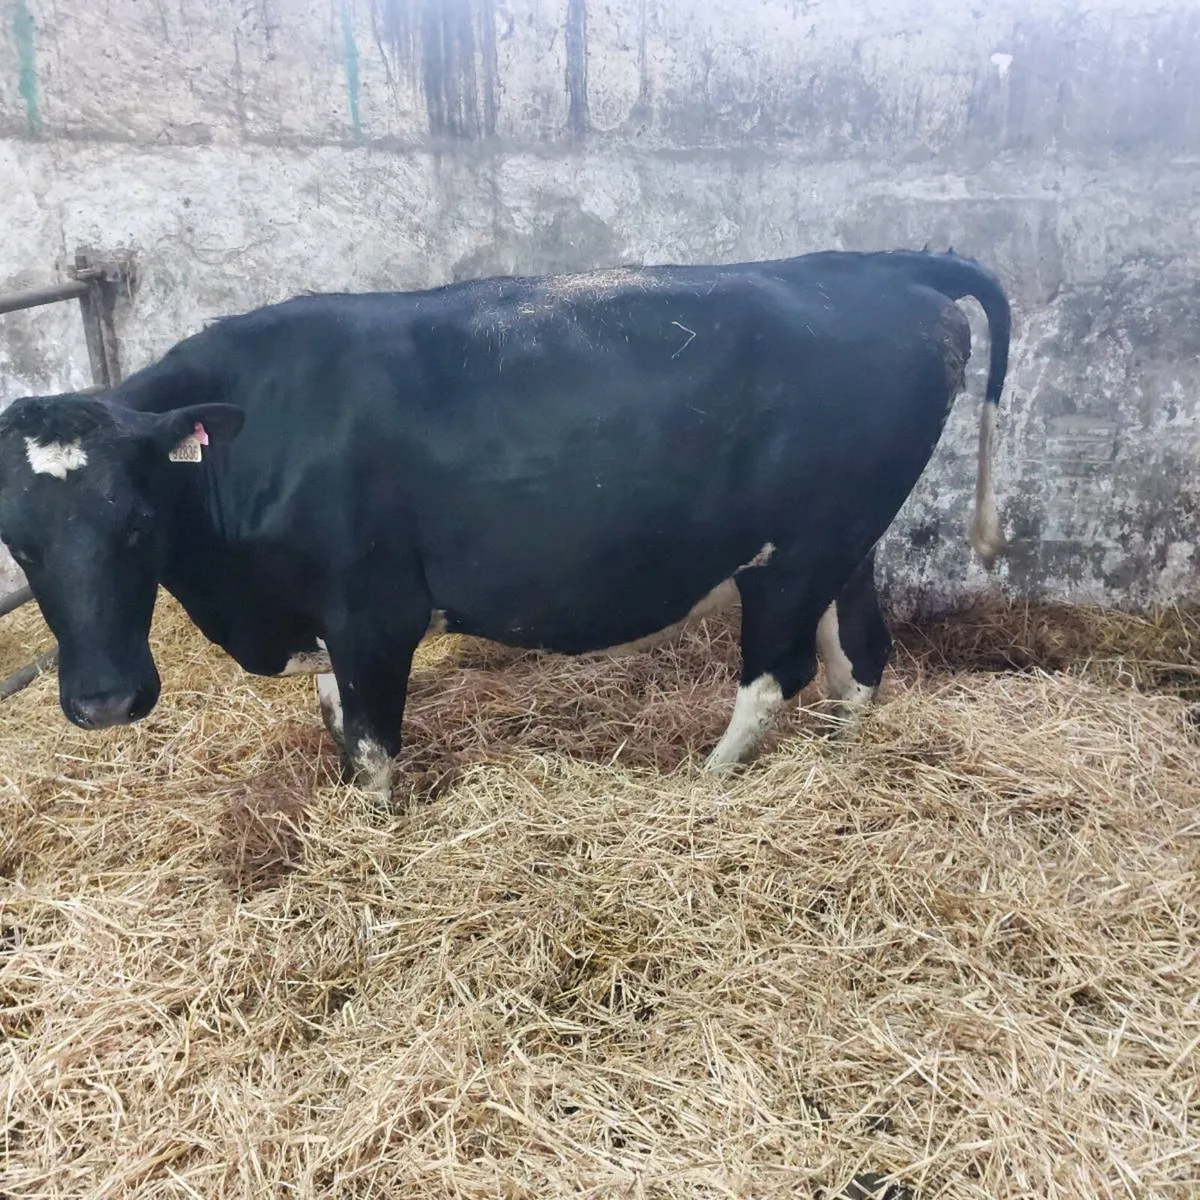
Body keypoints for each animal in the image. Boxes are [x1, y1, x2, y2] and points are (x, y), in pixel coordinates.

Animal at [0, 249, 1009, 801]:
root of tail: (875, 265)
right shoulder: (330, 620)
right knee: (859, 658)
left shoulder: (375, 612)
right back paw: (836, 766)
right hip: (849, 539)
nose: (104, 702)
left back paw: (707, 780)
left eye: (137, 522)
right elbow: (337, 716)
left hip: (797, 554)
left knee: (777, 677)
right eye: (19, 544)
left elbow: (372, 748)